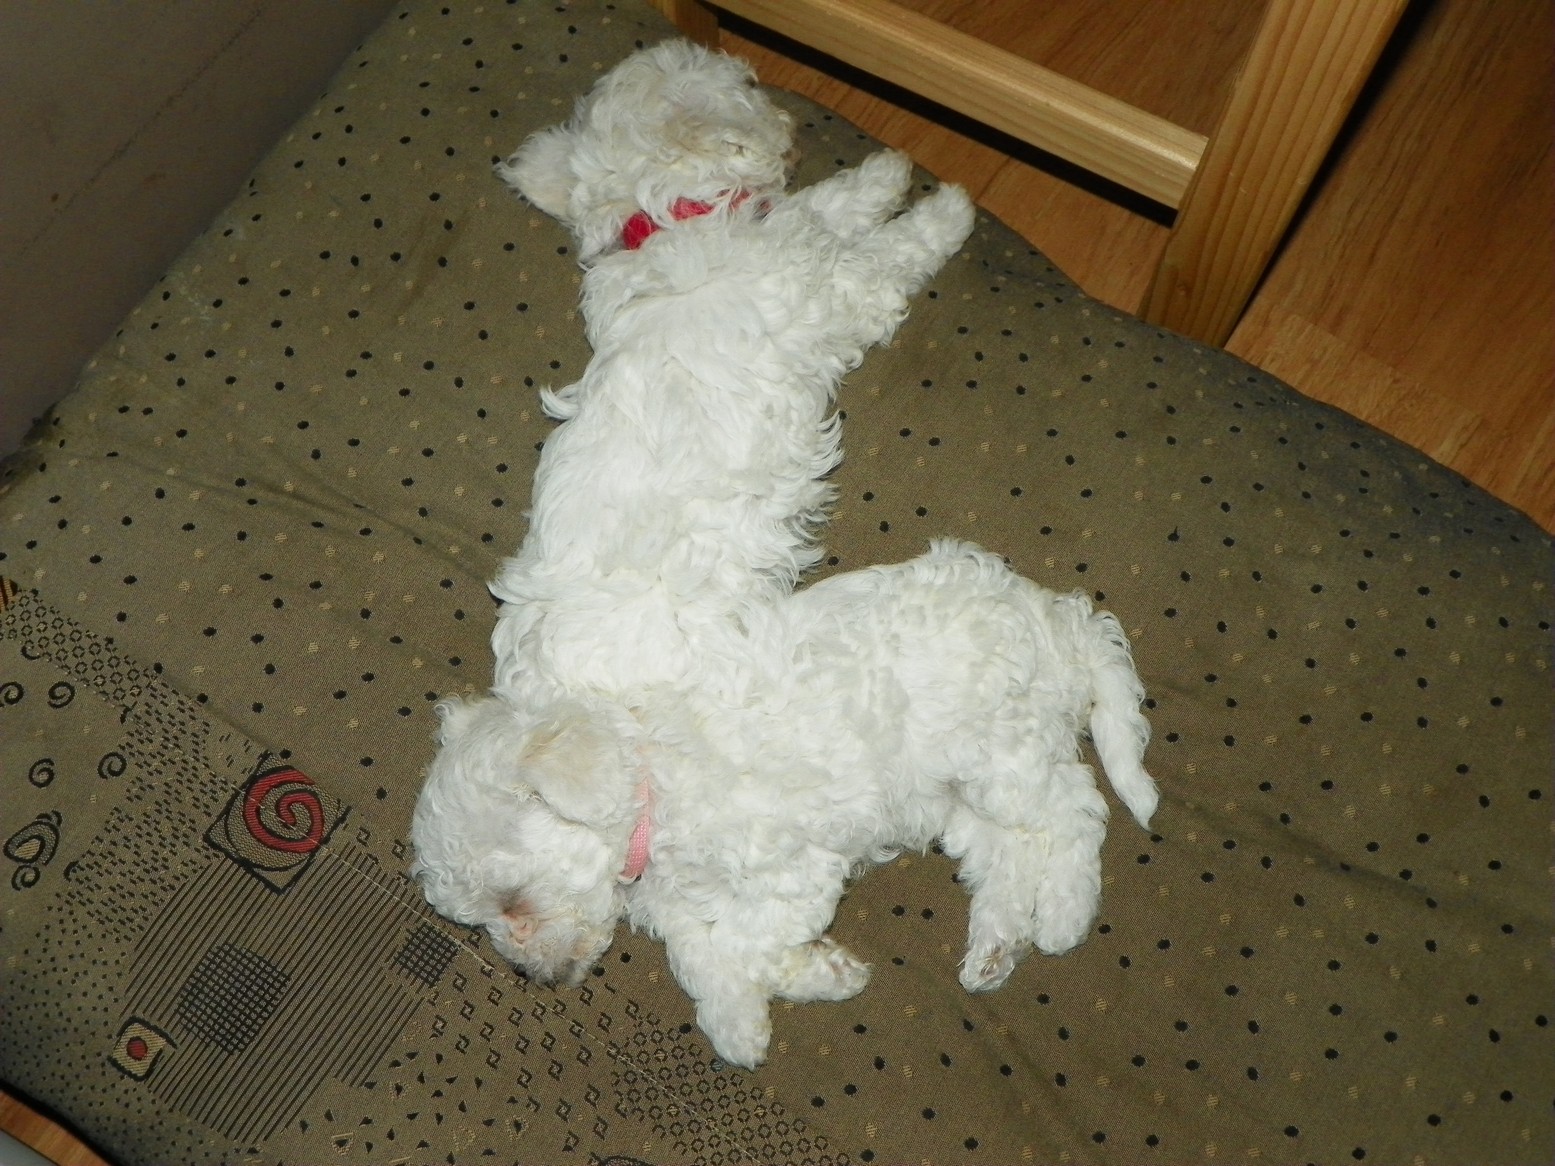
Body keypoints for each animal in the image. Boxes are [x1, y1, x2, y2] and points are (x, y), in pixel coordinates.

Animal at [412, 541, 1156, 1068]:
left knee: (1075, 810)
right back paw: (996, 950)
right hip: (957, 799)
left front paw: (803, 977)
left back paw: (1062, 916)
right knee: (1012, 850)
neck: (650, 784)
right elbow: (697, 953)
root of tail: (1061, 617)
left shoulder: (796, 872)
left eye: (512, 902)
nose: (530, 974)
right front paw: (745, 1021)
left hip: (1001, 754)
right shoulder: (683, 900)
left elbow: (740, 942)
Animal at [485, 39, 975, 708]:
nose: (795, 123)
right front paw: (950, 209)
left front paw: (887, 171)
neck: (672, 216)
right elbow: (896, 248)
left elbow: (830, 201)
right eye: (748, 83)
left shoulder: (795, 225)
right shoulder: (846, 288)